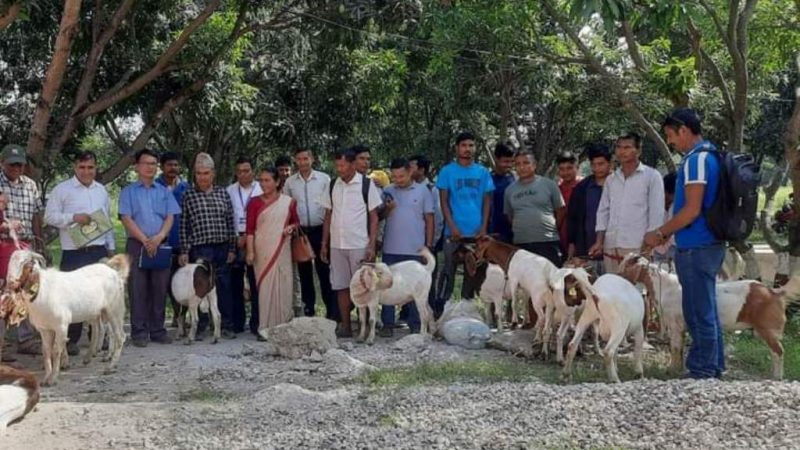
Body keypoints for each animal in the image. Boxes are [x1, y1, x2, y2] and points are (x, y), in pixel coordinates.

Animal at [5, 250, 129, 386]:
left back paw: (110, 366)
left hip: (115, 309)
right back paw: (89, 357)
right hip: (97, 311)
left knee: (120, 336)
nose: (10, 282)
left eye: (24, 262)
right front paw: (45, 378)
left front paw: (53, 379)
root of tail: (115, 273)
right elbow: (46, 352)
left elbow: (55, 351)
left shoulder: (61, 325)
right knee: (98, 329)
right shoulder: (44, 328)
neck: (41, 289)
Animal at [620, 253, 800, 380]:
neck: (665, 286)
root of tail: (774, 292)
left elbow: (675, 348)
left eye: (626, 265)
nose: (616, 275)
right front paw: (678, 369)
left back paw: (777, 377)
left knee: (779, 351)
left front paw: (671, 371)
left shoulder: (675, 325)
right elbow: (679, 350)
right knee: (775, 352)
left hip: (767, 329)